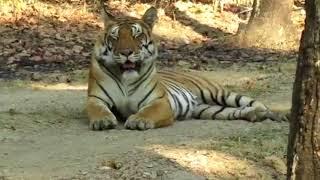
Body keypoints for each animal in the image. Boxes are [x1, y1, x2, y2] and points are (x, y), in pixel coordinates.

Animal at [86, 1, 282, 131]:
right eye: (115, 37)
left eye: (137, 36)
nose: (126, 52)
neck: (126, 79)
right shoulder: (96, 98)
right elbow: (97, 109)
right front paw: (103, 121)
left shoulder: (160, 101)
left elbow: (149, 111)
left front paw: (138, 120)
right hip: (208, 109)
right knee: (235, 111)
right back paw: (254, 115)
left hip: (220, 93)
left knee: (256, 103)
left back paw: (273, 115)